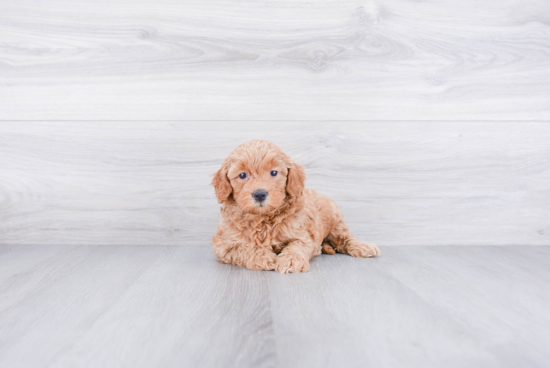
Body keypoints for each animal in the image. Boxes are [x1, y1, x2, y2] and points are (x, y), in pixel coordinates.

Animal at [210, 141, 380, 274]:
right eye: (242, 175)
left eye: (274, 173)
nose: (259, 194)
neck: (263, 218)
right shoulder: (225, 245)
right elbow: (246, 248)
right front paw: (264, 257)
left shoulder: (303, 234)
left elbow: (296, 246)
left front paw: (291, 261)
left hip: (334, 218)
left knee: (345, 238)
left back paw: (364, 247)